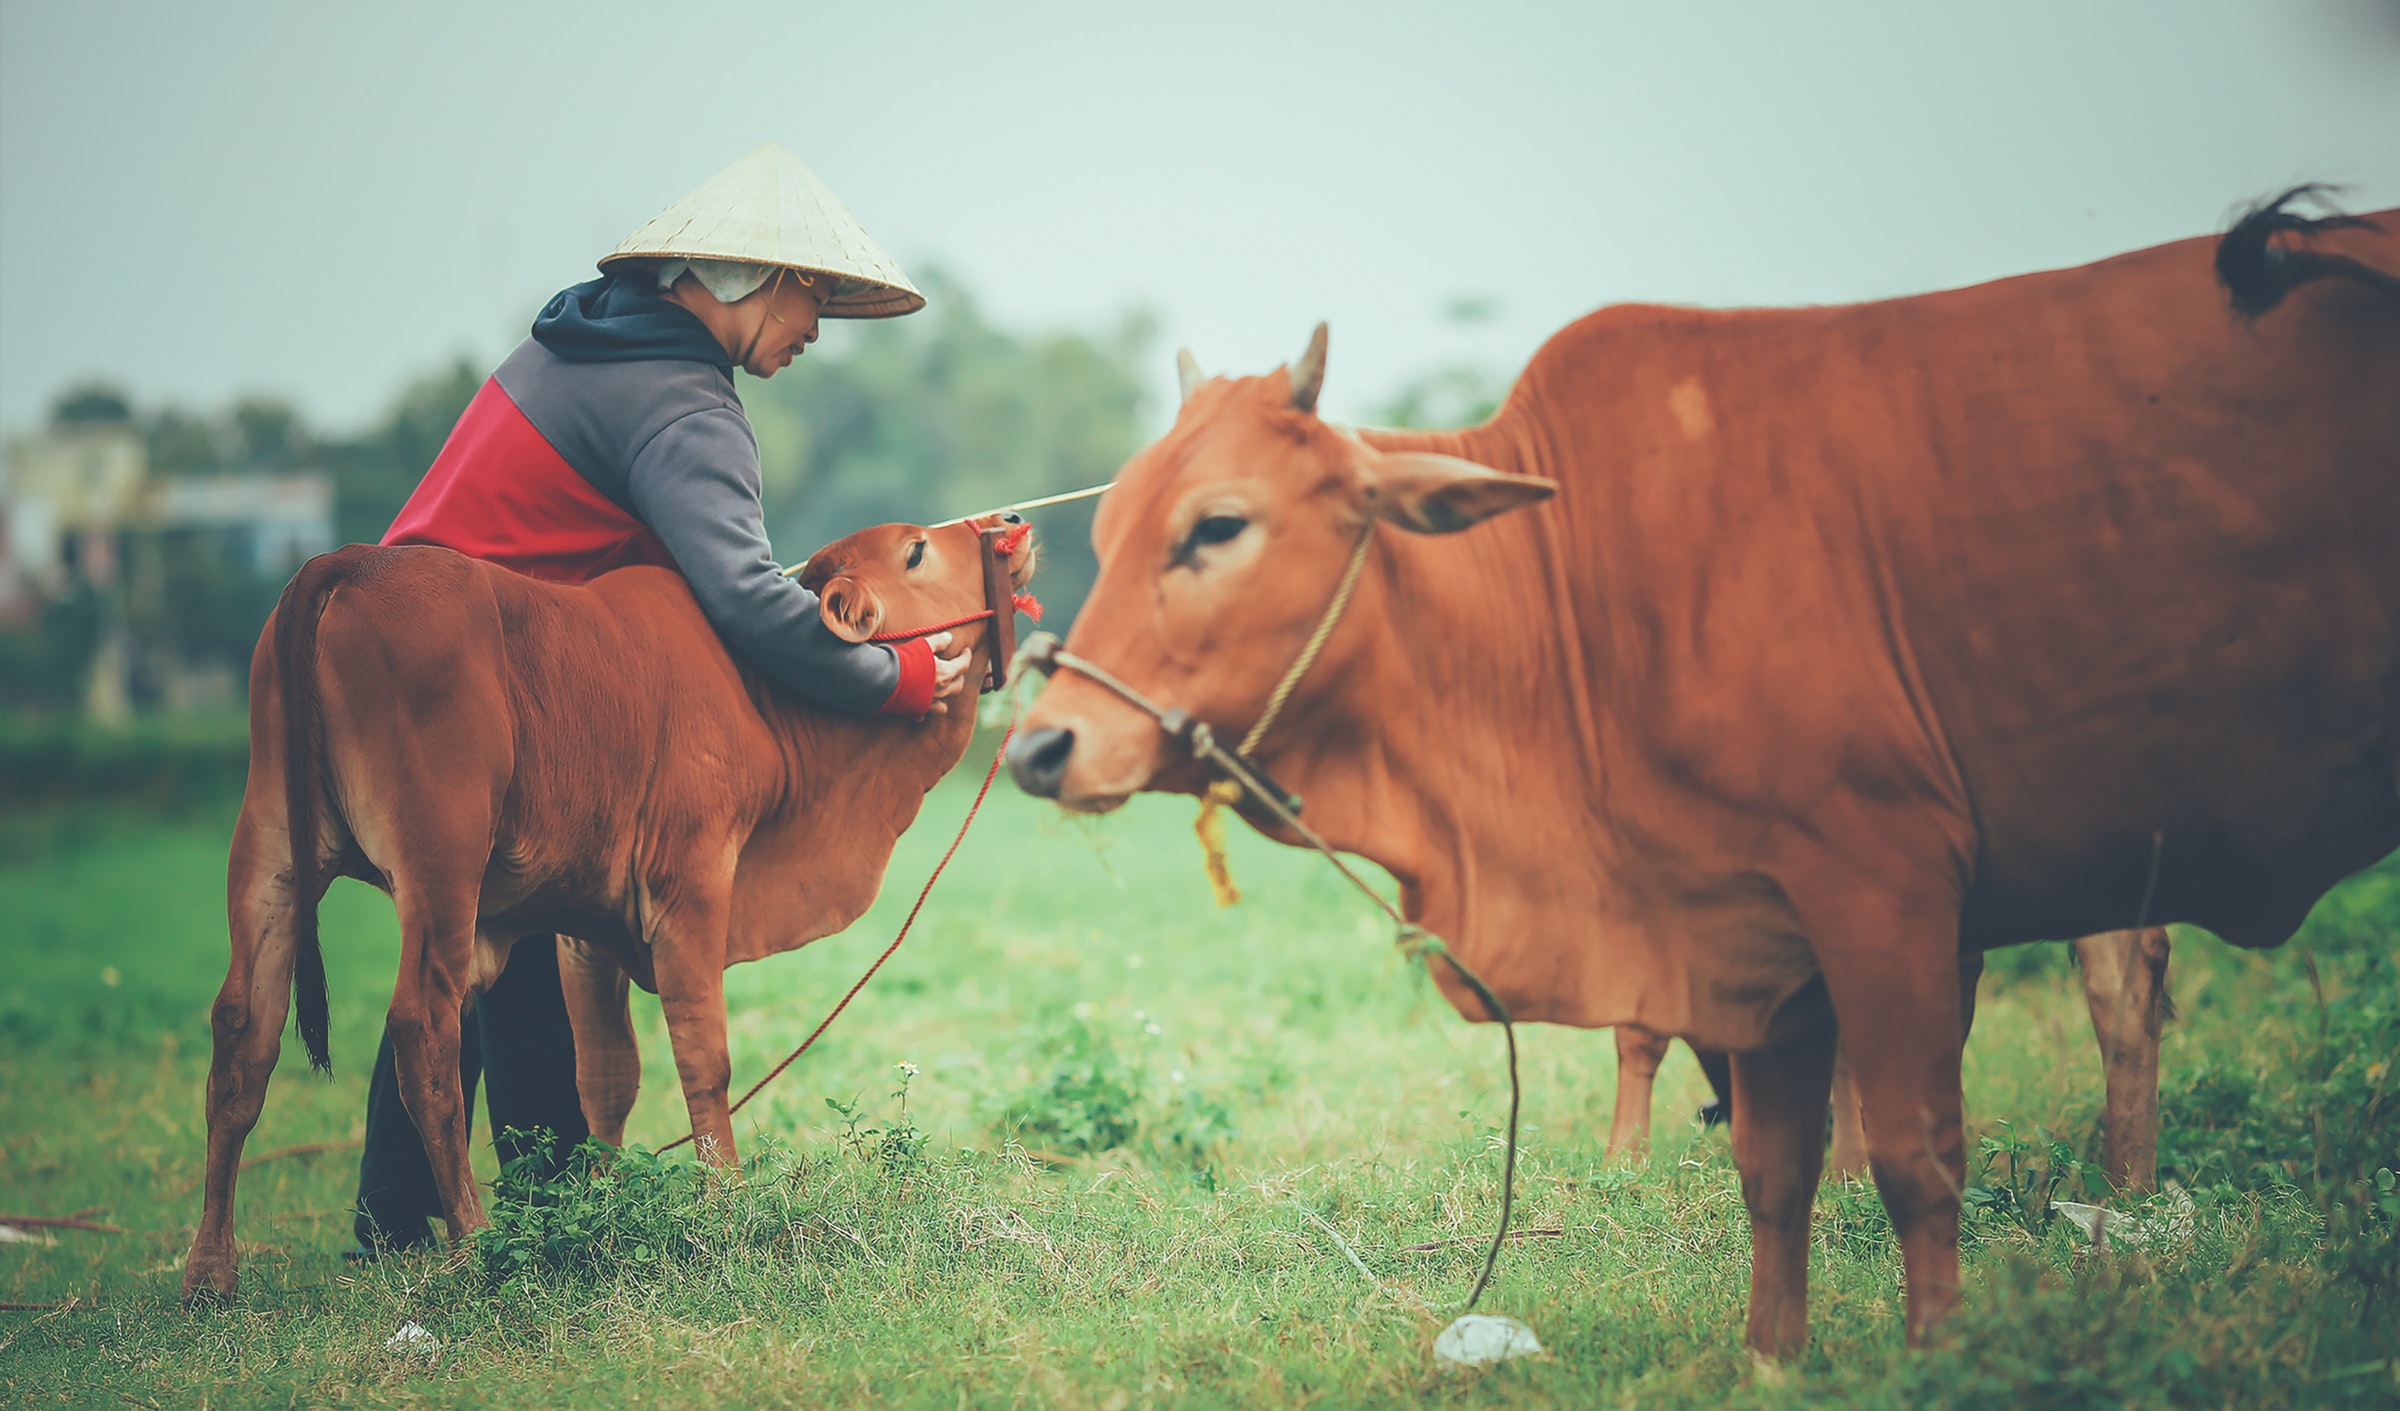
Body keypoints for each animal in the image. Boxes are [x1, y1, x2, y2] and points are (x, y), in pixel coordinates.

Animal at [175, 513, 1022, 1295]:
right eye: (917, 549)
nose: (1010, 523)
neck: (767, 704)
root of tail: (347, 563)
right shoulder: (692, 887)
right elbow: (704, 1059)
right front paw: (726, 1201)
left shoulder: (588, 927)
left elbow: (607, 1075)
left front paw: (607, 1205)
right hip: (440, 858)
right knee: (423, 1031)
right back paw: (476, 1243)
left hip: (271, 847)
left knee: (243, 1033)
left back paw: (210, 1271)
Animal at [1003, 193, 2390, 1353]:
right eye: (1105, 528)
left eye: (1217, 526)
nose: (1037, 743)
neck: (1567, 585)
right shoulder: (1736, 922)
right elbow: (1770, 1167)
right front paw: (1774, 1357)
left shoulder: (1880, 882)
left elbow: (1917, 1150)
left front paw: (1938, 1350)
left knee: (2120, 983)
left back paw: (2129, 1188)